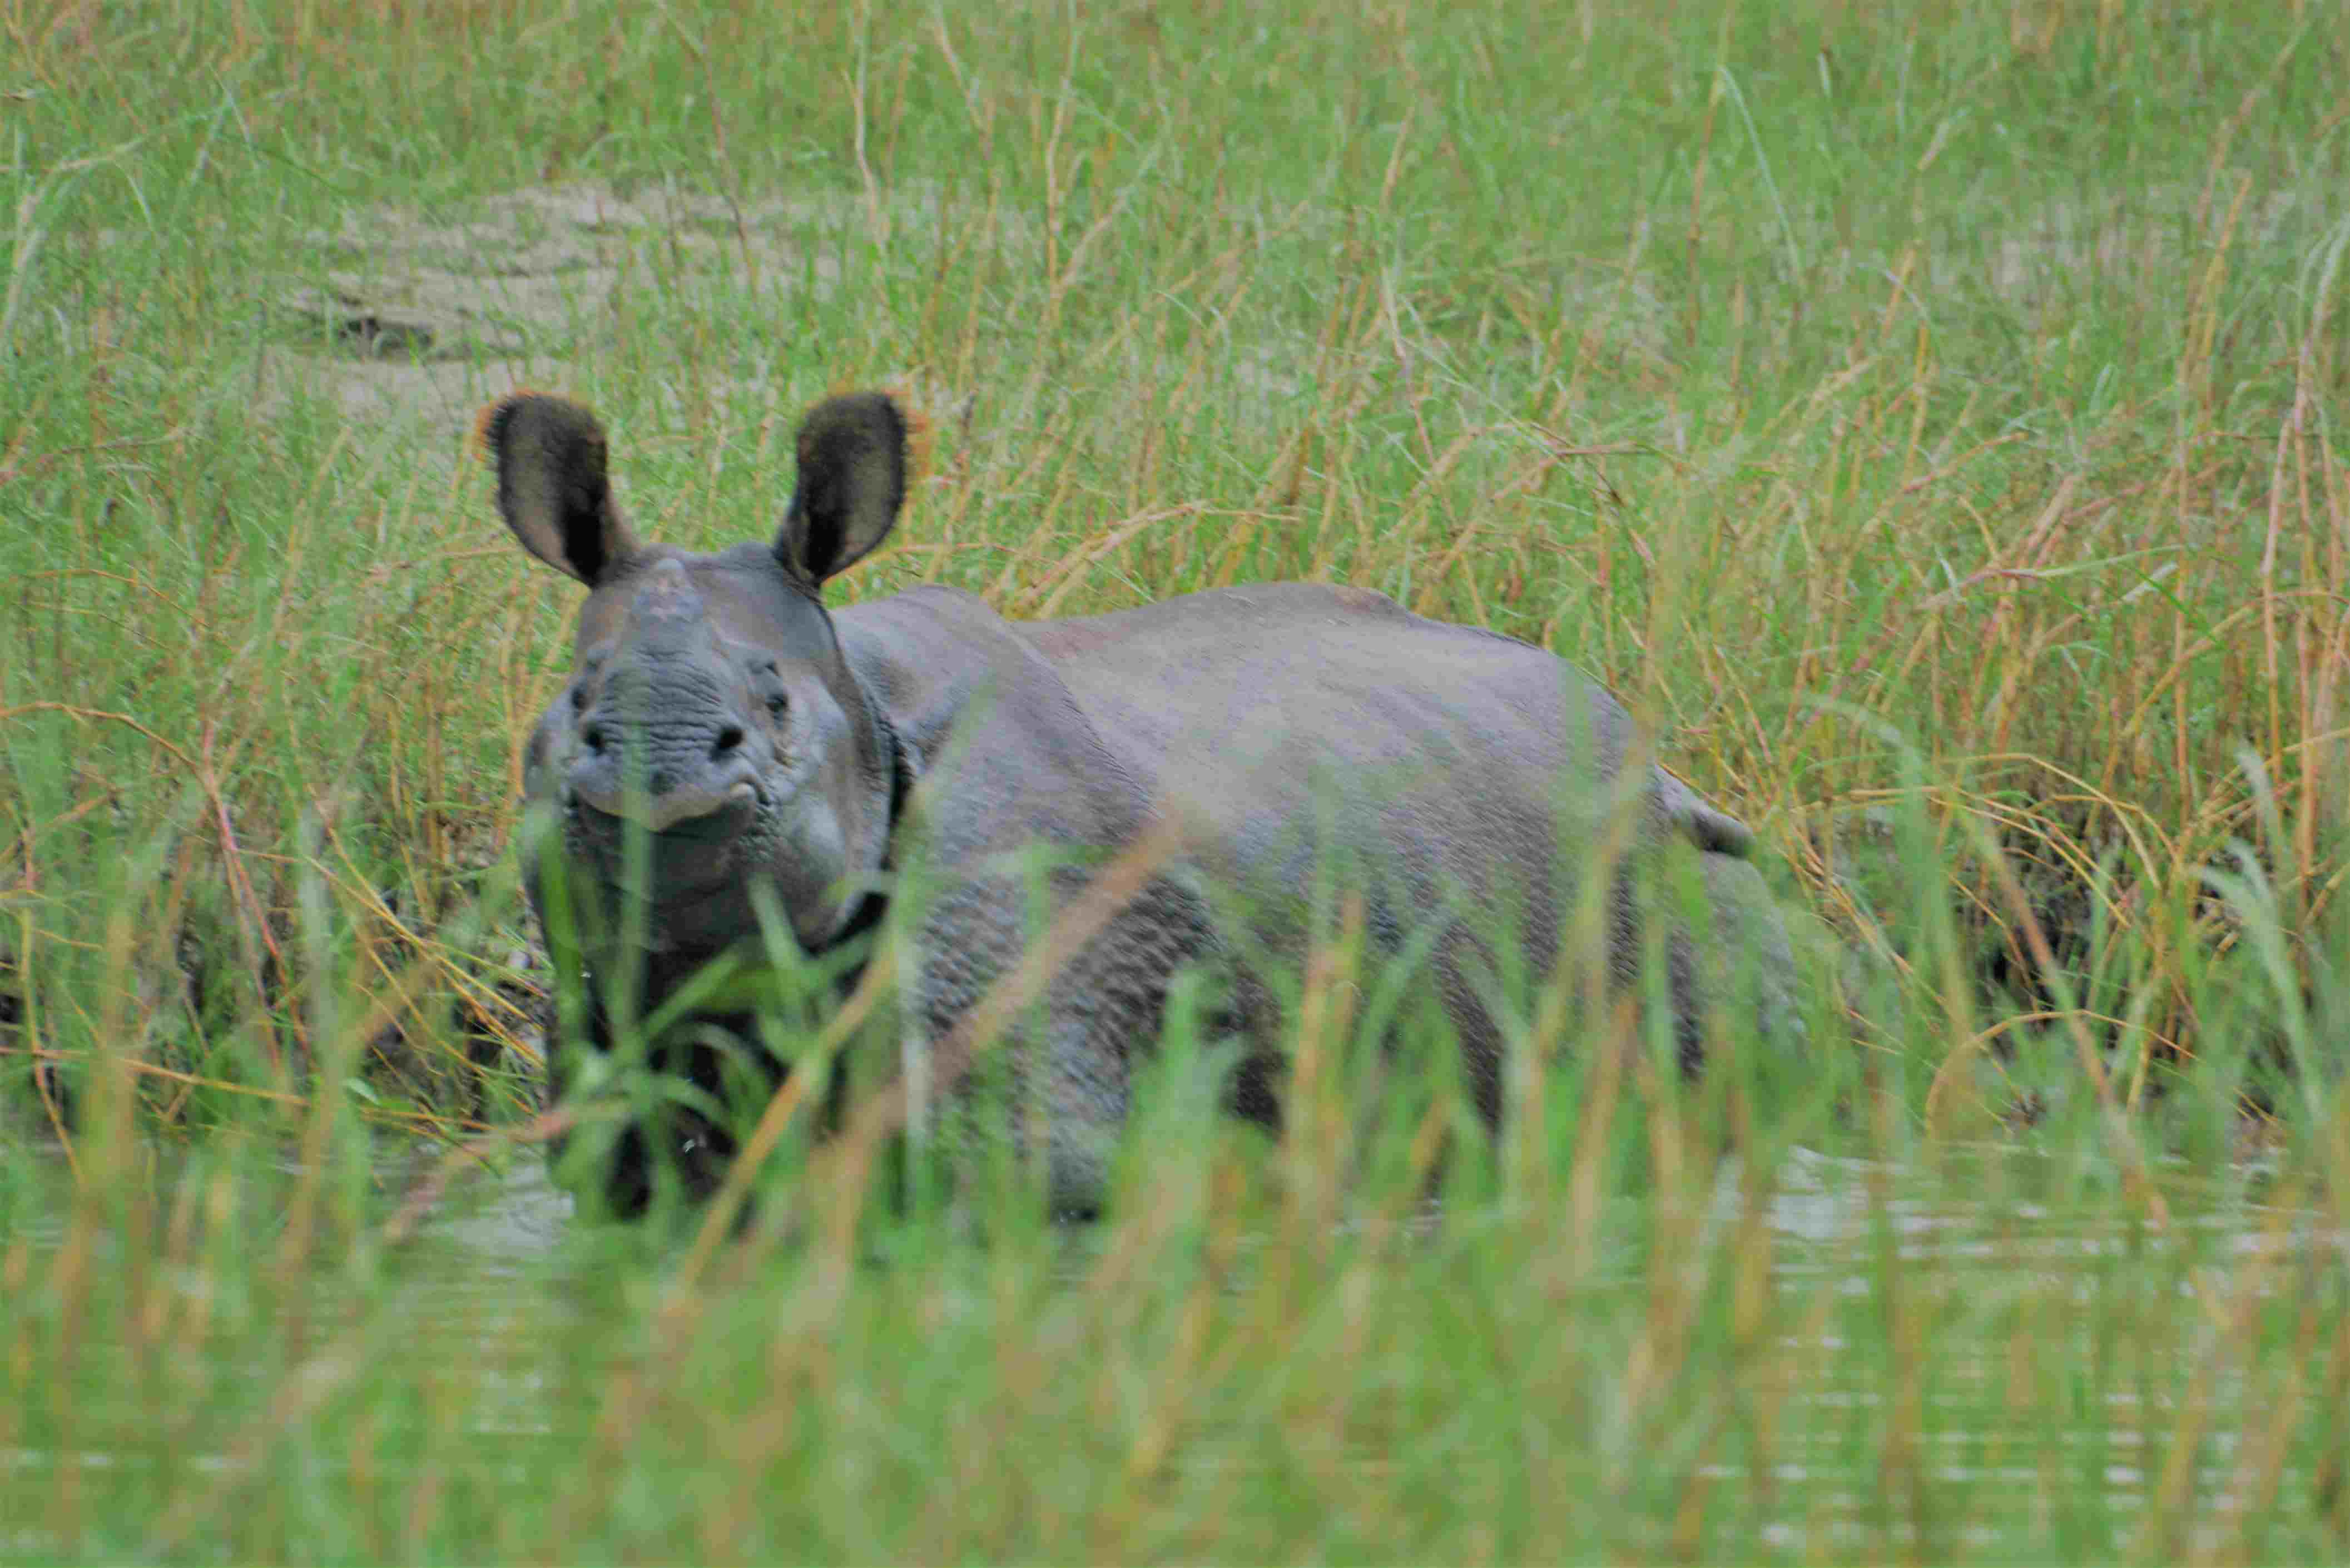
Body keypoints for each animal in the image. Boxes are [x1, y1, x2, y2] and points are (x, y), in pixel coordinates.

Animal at [484, 389, 1803, 1216]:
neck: (865, 698)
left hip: (1681, 868)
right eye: (575, 704)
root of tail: (1651, 756)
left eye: (771, 704)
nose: (661, 781)